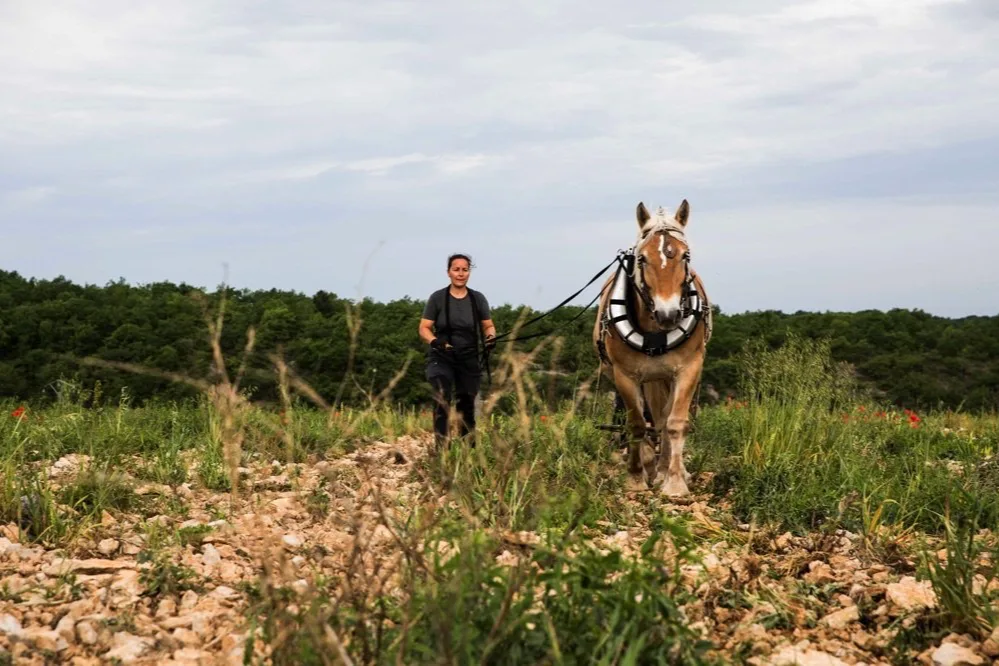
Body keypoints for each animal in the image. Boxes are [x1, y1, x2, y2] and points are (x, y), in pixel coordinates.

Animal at [592, 199, 712, 497]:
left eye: (685, 256)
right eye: (642, 258)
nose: (668, 314)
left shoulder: (688, 369)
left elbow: (675, 422)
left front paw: (675, 482)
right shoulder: (625, 375)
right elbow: (636, 424)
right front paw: (636, 477)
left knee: (663, 419)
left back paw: (666, 468)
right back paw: (650, 465)